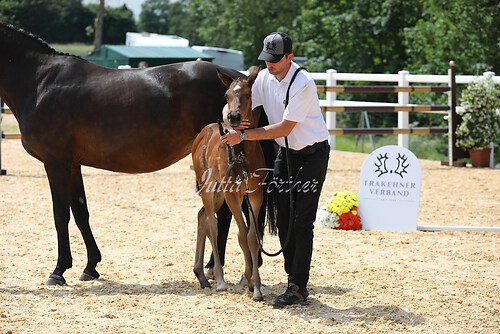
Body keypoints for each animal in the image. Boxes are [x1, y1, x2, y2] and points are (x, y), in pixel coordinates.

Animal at [0, 22, 244, 286]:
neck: (40, 82)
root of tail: (234, 78)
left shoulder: (55, 163)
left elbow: (60, 215)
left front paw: (58, 270)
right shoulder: (72, 166)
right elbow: (80, 213)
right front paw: (90, 266)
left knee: (224, 213)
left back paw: (211, 267)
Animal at [191, 68, 266, 300]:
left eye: (249, 94)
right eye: (226, 95)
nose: (233, 117)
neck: (242, 155)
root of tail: (204, 132)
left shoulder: (255, 195)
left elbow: (252, 237)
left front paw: (255, 285)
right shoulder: (233, 195)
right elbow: (241, 236)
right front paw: (250, 280)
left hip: (218, 193)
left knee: (202, 216)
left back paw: (201, 275)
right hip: (210, 189)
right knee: (212, 223)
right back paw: (220, 280)